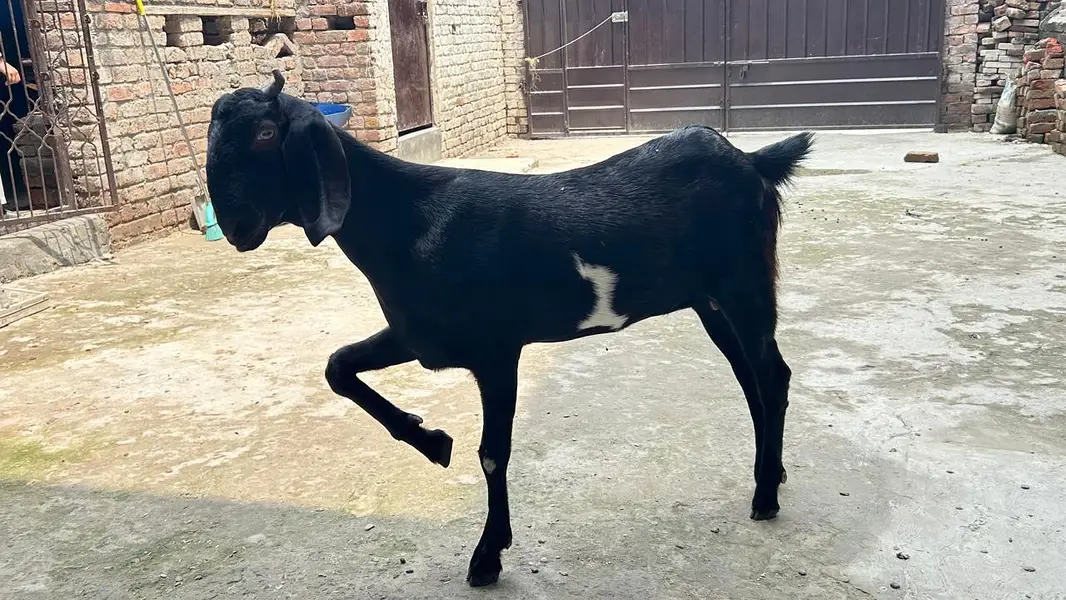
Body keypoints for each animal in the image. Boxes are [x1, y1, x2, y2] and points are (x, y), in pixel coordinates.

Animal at [205, 70, 813, 587]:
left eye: (266, 133)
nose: (235, 227)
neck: (410, 222)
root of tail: (752, 160)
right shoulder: (419, 335)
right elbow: (337, 367)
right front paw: (431, 441)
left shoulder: (496, 351)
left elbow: (492, 453)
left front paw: (487, 556)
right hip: (709, 301)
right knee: (752, 379)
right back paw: (771, 474)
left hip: (745, 284)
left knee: (772, 376)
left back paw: (765, 496)